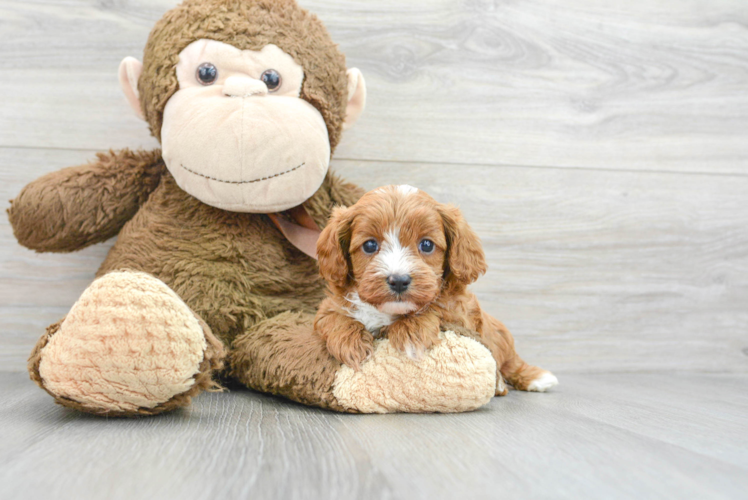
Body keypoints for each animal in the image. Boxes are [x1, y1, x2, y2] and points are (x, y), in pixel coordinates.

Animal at [312, 185, 560, 394]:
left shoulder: (460, 313)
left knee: (511, 362)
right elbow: (333, 316)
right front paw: (349, 342)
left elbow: (435, 306)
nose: (399, 280)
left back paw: (533, 379)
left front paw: (410, 332)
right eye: (370, 245)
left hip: (501, 336)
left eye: (427, 244)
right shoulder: (331, 305)